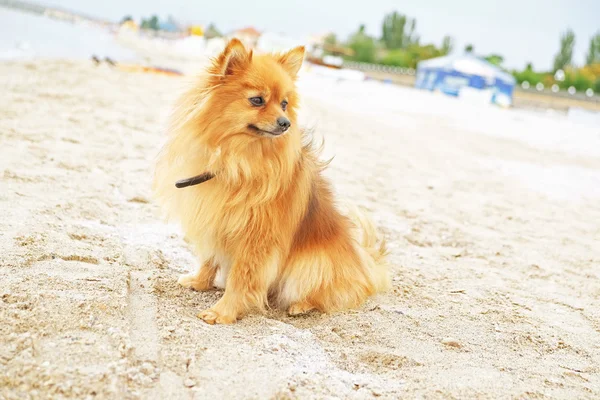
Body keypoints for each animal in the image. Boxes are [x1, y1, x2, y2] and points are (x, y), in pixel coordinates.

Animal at [152, 38, 392, 324]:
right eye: (257, 100)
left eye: (284, 104)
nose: (285, 122)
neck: (237, 159)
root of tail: (365, 263)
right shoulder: (214, 219)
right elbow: (209, 258)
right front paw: (199, 282)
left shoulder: (256, 239)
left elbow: (241, 278)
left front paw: (223, 312)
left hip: (313, 264)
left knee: (334, 293)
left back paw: (302, 305)